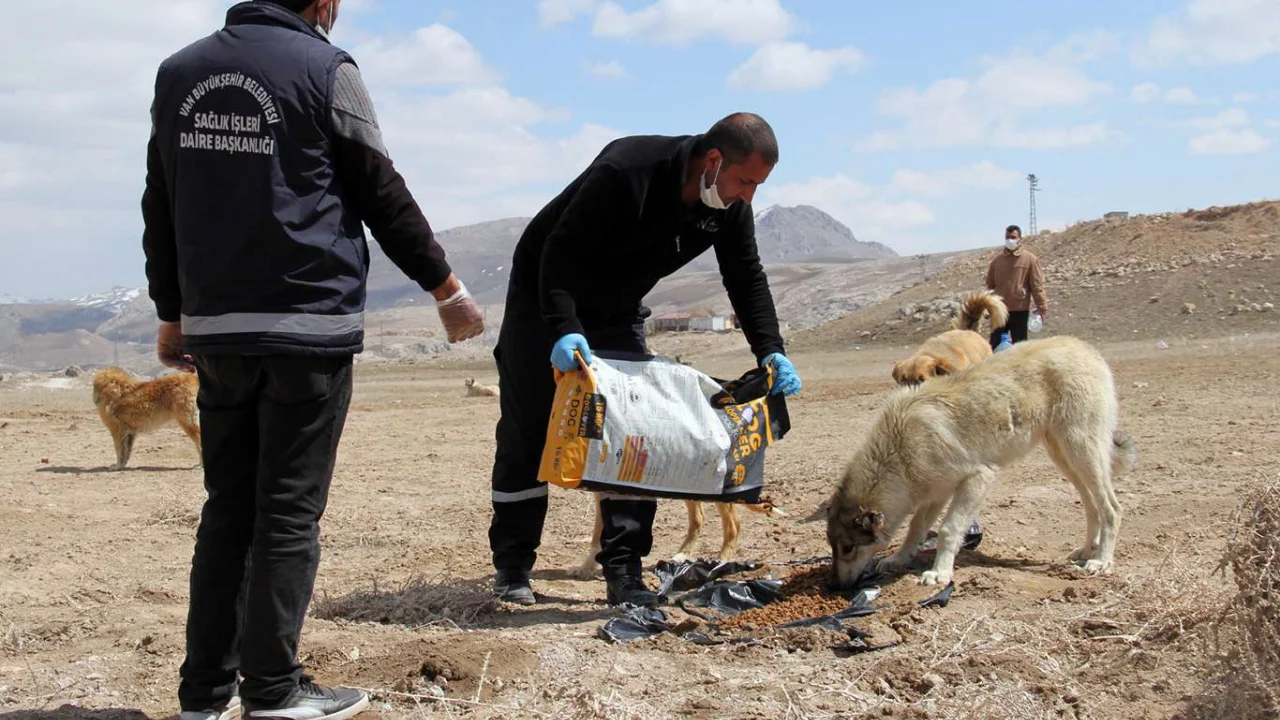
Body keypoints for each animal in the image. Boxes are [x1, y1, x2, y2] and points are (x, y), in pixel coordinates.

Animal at [829, 333, 1141, 586]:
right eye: (833, 547)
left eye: (847, 548)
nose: (835, 587)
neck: (899, 449)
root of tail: (1086, 348)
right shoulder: (936, 492)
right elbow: (915, 528)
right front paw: (899, 560)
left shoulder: (978, 478)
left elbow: (948, 529)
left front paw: (939, 573)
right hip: (1067, 460)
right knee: (1092, 507)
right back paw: (1087, 551)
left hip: (1082, 453)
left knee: (1112, 509)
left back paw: (1101, 562)